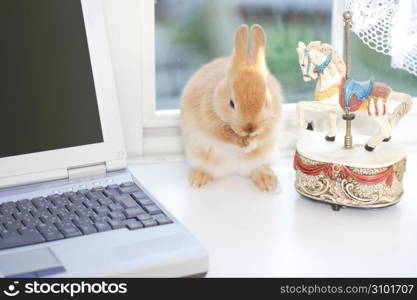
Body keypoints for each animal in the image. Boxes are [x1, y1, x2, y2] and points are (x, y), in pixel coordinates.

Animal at [180, 24, 282, 192]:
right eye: (231, 103)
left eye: (266, 102)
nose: (250, 128)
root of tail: (234, 171)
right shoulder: (210, 122)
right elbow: (225, 136)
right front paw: (245, 144)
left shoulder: (272, 123)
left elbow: (264, 134)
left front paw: (252, 143)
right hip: (197, 154)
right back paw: (198, 180)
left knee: (258, 169)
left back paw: (269, 184)